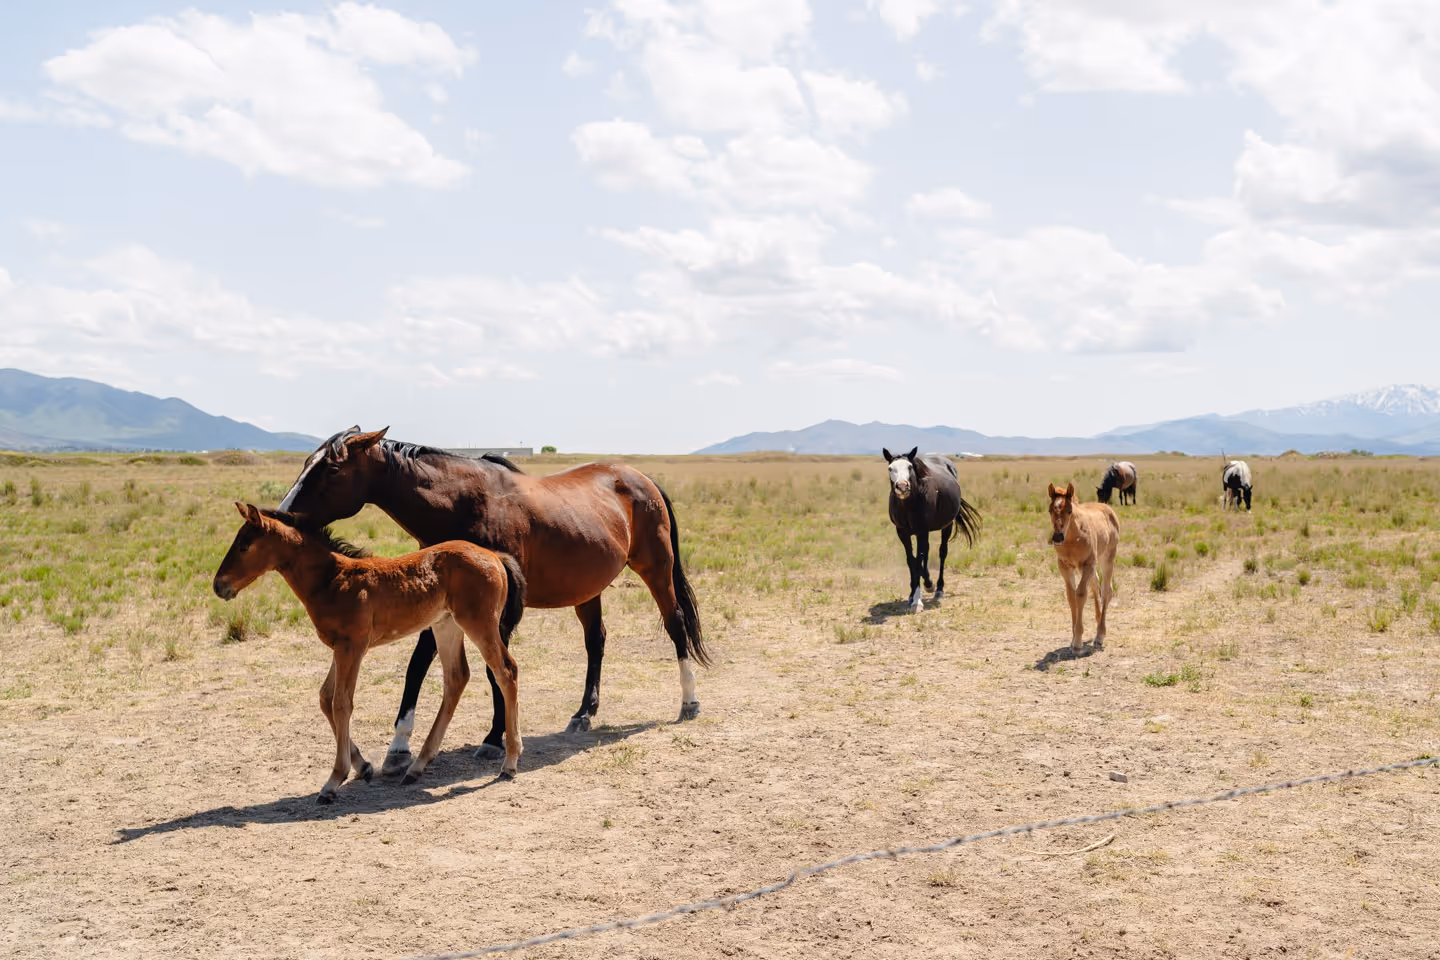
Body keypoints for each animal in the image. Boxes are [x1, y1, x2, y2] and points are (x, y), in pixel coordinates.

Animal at [212, 504, 526, 803]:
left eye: (244, 546)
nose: (218, 585)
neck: (332, 579)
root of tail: (495, 556)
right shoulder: (340, 648)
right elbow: (326, 698)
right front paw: (363, 767)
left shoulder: (353, 647)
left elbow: (341, 704)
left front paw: (333, 781)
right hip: (445, 624)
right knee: (456, 677)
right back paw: (417, 766)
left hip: (477, 622)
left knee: (505, 671)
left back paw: (509, 763)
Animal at [275, 427, 708, 778]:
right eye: (307, 462)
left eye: (332, 470)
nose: (282, 514)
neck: (464, 503)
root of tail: (640, 477)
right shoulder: (443, 605)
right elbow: (417, 666)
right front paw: (399, 747)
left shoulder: (493, 614)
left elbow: (494, 671)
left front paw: (494, 739)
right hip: (588, 590)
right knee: (596, 641)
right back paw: (584, 713)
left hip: (656, 569)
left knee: (675, 623)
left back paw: (689, 702)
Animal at [883, 447, 982, 614]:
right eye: (891, 468)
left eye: (910, 467)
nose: (902, 486)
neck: (908, 505)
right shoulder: (902, 532)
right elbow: (912, 561)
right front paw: (912, 594)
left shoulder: (922, 530)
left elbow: (918, 561)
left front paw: (918, 600)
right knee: (926, 553)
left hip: (947, 526)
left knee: (942, 552)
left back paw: (939, 589)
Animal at [1047, 482, 1119, 655]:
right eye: (1050, 510)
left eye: (1069, 510)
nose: (1057, 537)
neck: (1073, 538)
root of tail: (1107, 508)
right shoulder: (1065, 566)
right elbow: (1071, 596)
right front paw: (1073, 639)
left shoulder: (1087, 564)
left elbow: (1080, 594)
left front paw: (1078, 643)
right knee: (1095, 585)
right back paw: (1098, 624)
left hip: (1106, 559)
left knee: (1106, 590)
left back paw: (1099, 636)